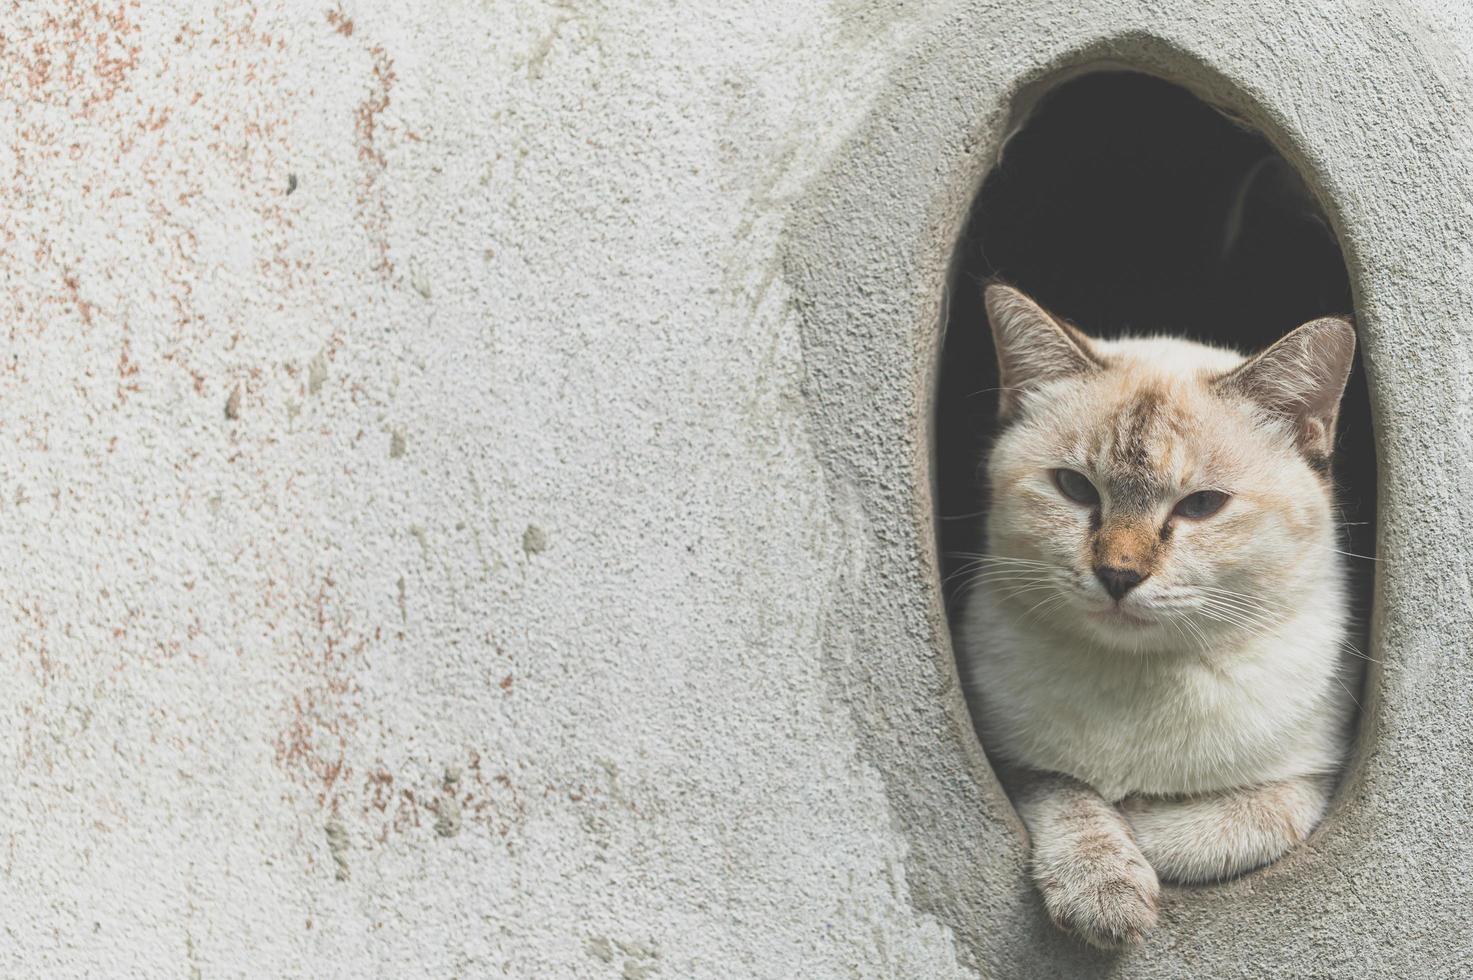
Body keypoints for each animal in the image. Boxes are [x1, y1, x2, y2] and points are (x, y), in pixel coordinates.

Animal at [954, 281, 1355, 949]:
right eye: (1075, 489)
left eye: (1201, 505)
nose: (1118, 574)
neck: (1139, 684)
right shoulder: (1010, 760)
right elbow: (1071, 796)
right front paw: (1104, 889)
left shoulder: (1314, 776)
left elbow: (1229, 825)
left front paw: (1139, 824)